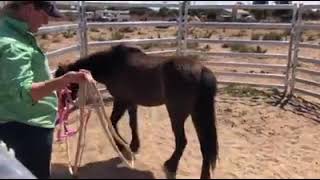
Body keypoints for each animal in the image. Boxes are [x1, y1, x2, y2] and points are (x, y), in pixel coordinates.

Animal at [55, 44, 220, 179]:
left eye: (63, 87)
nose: (60, 111)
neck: (112, 65)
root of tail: (202, 70)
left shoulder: (121, 101)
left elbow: (112, 123)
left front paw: (122, 146)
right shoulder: (131, 103)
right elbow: (132, 123)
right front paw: (134, 145)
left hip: (177, 114)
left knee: (182, 141)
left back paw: (170, 166)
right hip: (197, 114)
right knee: (205, 145)